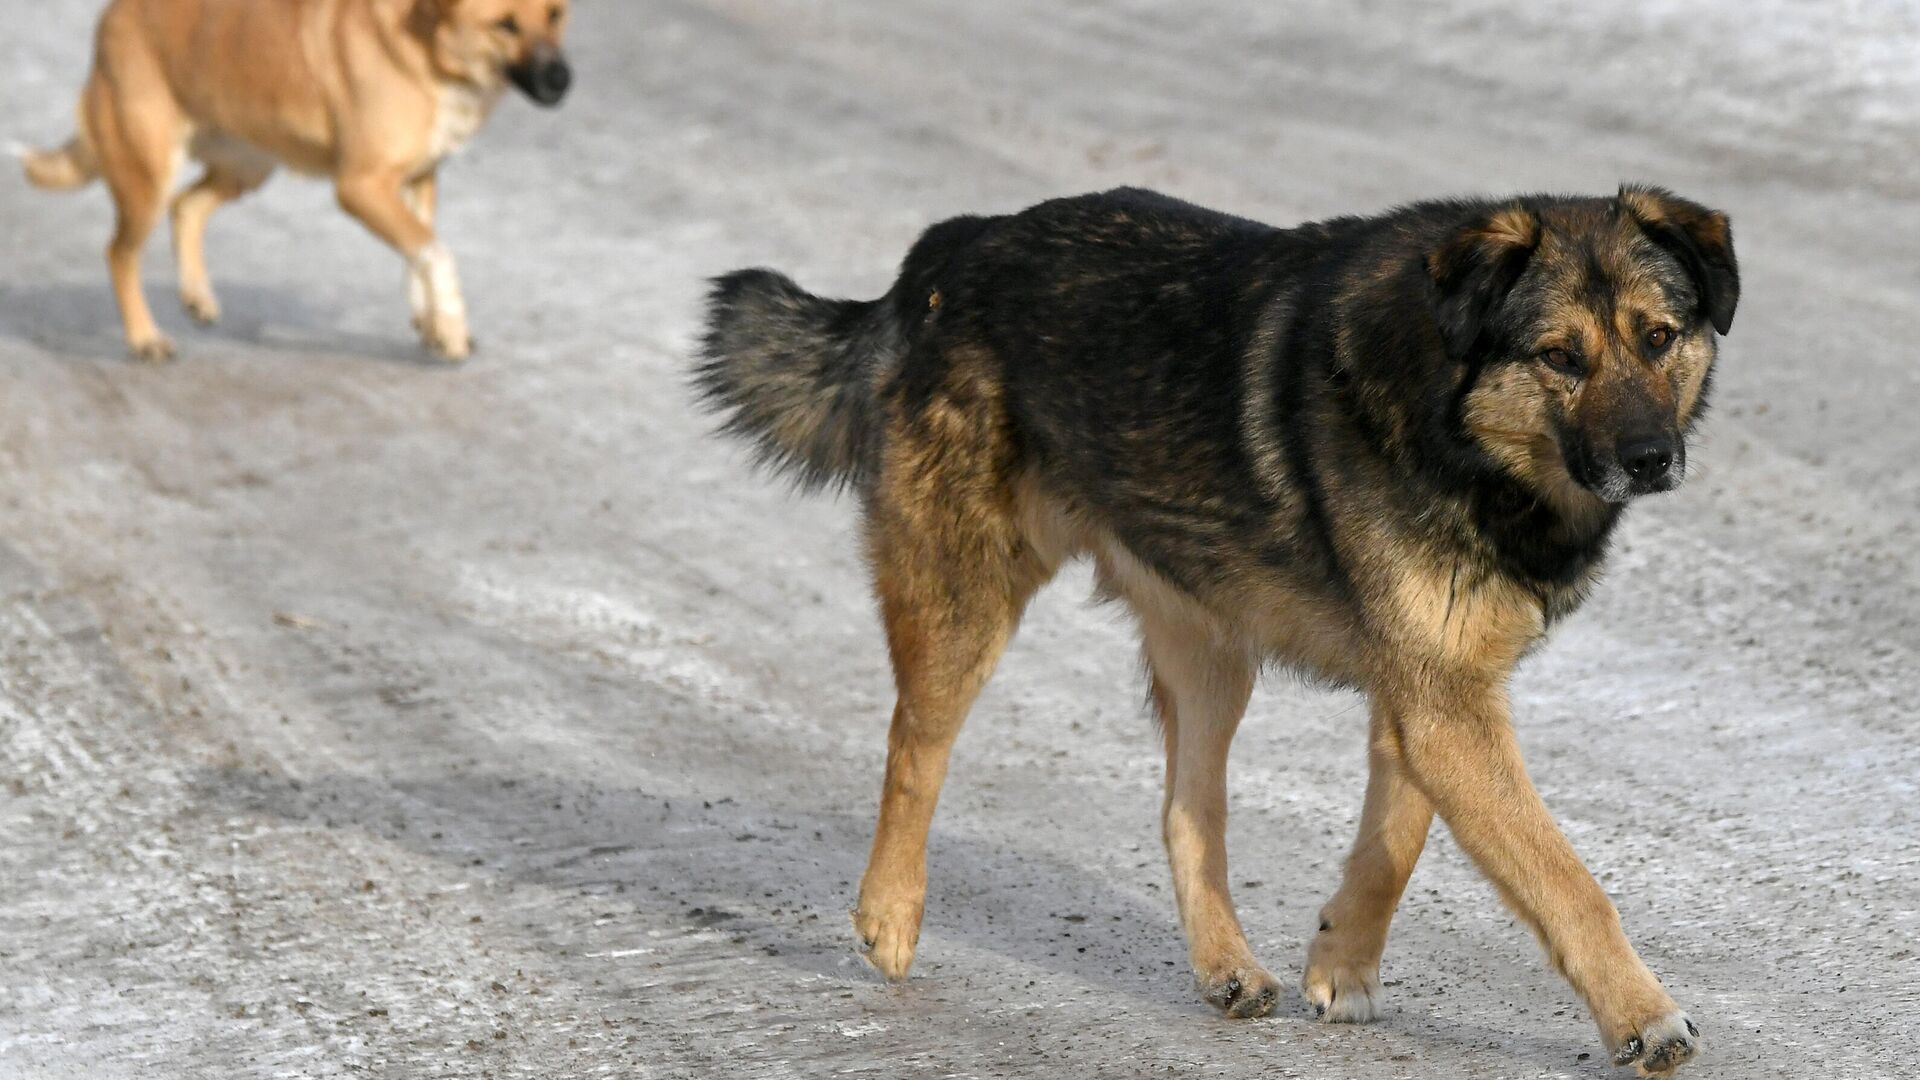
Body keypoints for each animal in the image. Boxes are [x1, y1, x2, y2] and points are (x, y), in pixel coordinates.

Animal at [22, 0, 572, 361]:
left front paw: (432, 322)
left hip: (249, 165)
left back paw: (197, 295)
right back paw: (144, 337)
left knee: (188, 206)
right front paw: (452, 327)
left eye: (556, 14)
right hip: (147, 173)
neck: (424, 46)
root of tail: (111, 16)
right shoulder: (360, 187)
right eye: (504, 25)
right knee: (120, 253)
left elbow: (418, 252)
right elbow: (434, 252)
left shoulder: (419, 179)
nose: (563, 81)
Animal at [695, 184, 1743, 1068]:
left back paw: (1226, 965)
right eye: (1560, 355)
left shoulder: (1431, 694)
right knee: (914, 747)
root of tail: (952, 248)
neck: (1462, 430)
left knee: (1183, 809)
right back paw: (889, 917)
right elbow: (1567, 880)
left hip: (1210, 650)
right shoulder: (1444, 706)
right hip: (966, 596)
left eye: (1659, 337)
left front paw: (1342, 963)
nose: (1652, 457)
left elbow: (1396, 841)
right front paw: (1643, 1015)